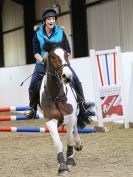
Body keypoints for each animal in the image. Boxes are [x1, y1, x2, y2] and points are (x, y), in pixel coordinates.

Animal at [41, 47, 83, 176]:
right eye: (52, 57)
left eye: (67, 55)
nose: (67, 76)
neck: (56, 96)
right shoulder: (50, 120)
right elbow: (57, 143)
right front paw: (62, 166)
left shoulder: (70, 117)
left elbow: (69, 138)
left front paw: (70, 159)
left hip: (76, 114)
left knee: (75, 127)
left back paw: (78, 144)